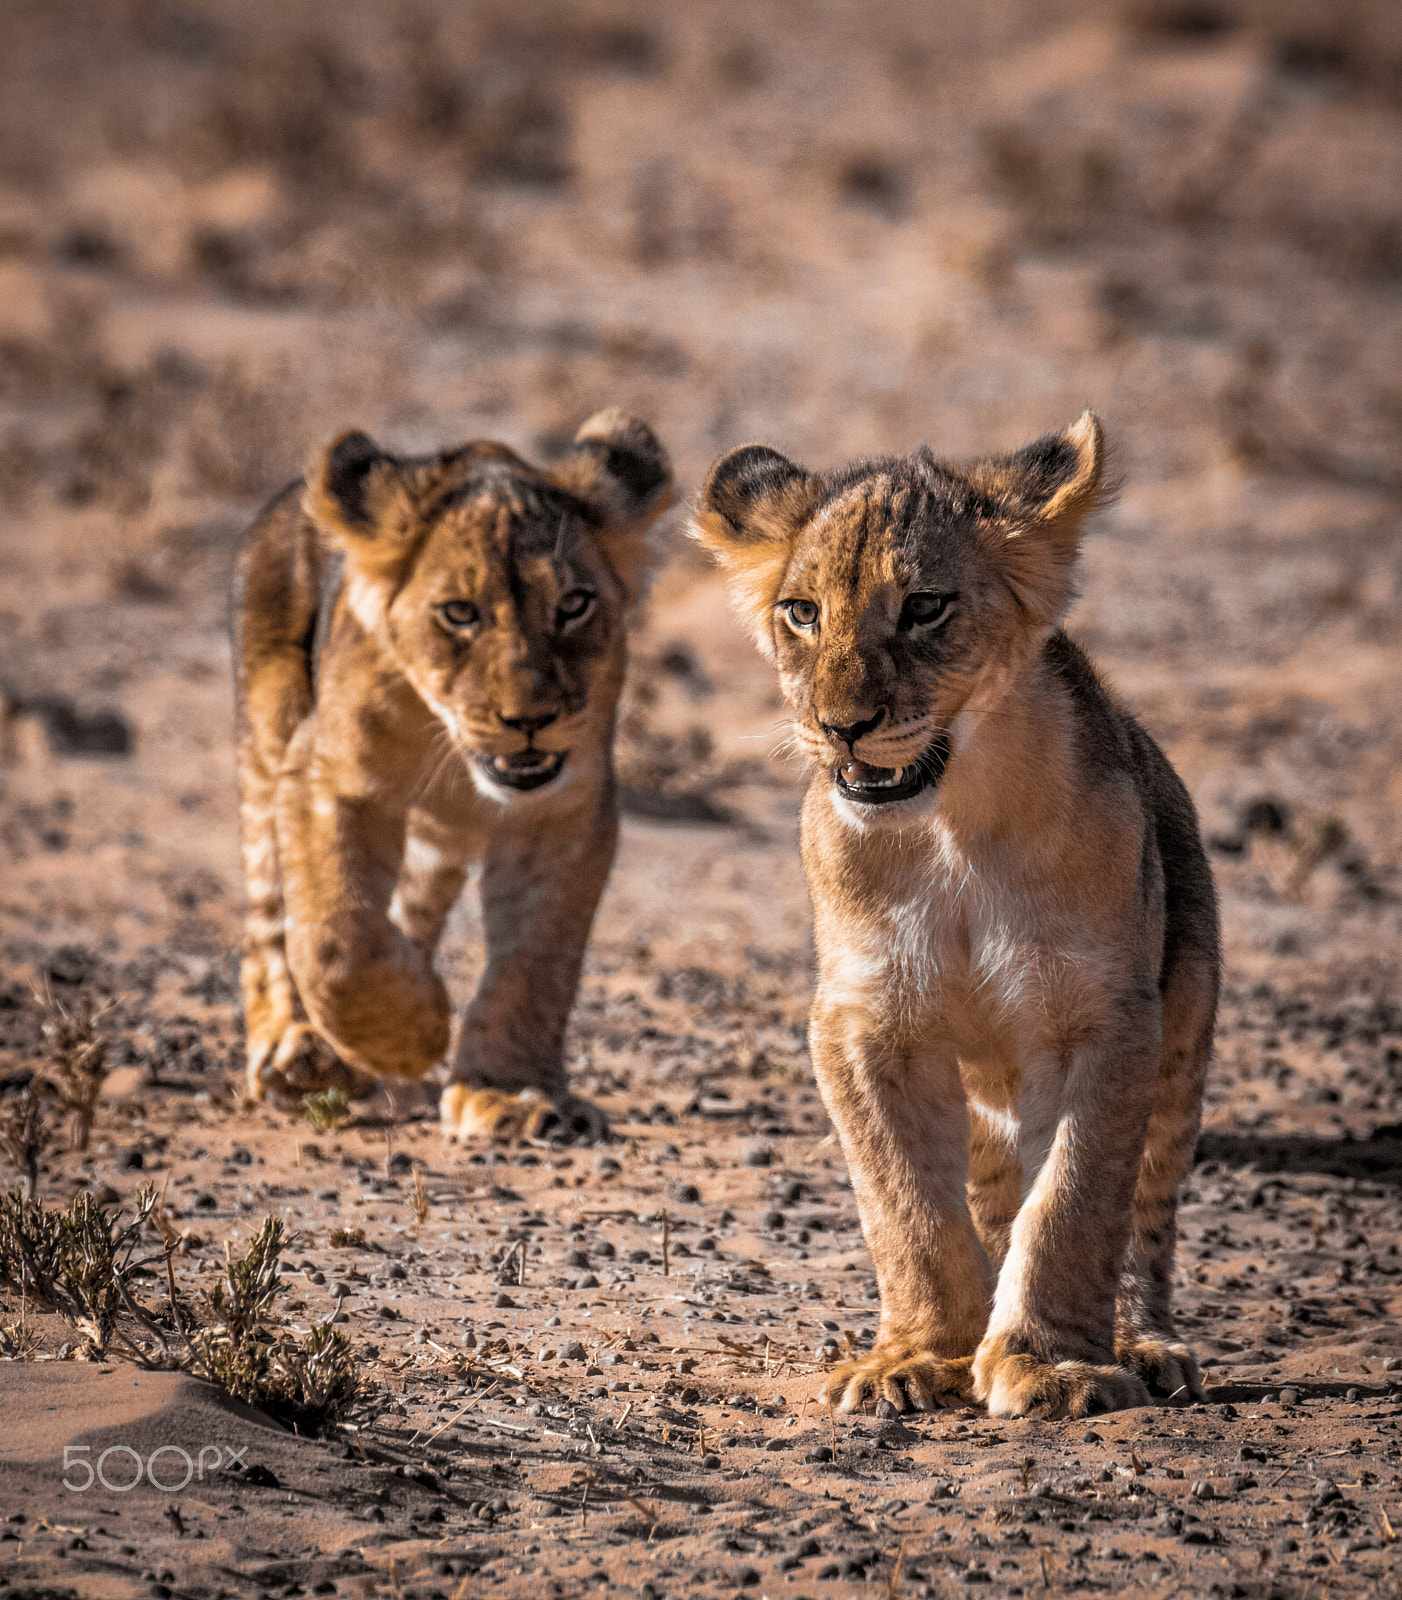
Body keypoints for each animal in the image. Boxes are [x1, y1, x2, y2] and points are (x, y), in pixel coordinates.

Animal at [234, 409, 675, 1142]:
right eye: (461, 612)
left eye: (574, 604)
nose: (531, 719)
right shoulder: (326, 775)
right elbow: (334, 939)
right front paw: (414, 1032)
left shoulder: (566, 811)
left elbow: (537, 960)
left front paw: (512, 1092)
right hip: (268, 732)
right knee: (271, 916)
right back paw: (301, 1055)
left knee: (407, 907)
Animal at [693, 413, 1219, 1419]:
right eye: (802, 612)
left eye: (926, 607)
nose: (841, 726)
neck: (953, 827)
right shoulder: (863, 1023)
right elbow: (907, 1207)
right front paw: (916, 1357)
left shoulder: (1108, 1017)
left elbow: (1075, 1200)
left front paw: (1051, 1366)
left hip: (1184, 1029)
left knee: (1146, 1209)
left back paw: (1146, 1345)